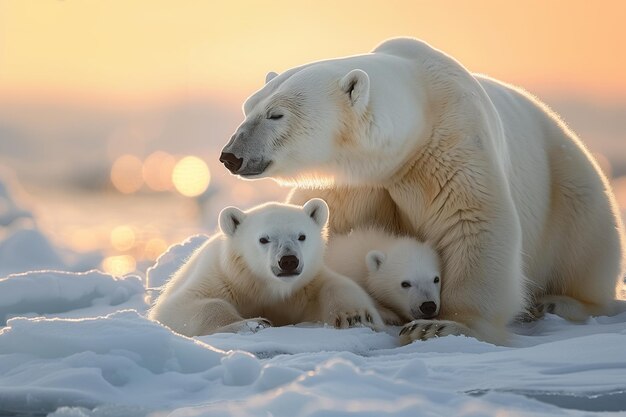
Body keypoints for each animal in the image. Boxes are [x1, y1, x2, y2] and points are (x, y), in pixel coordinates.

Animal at [149, 197, 382, 336]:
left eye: (302, 236)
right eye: (264, 239)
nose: (288, 260)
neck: (260, 284)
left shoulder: (304, 286)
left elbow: (336, 285)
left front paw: (355, 317)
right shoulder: (220, 277)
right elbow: (181, 306)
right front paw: (254, 323)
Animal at [221, 37, 624, 342]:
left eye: (276, 114)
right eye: (247, 108)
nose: (230, 156)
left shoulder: (455, 144)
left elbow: (475, 223)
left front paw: (439, 325)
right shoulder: (356, 181)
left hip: (573, 186)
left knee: (587, 247)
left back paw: (557, 303)